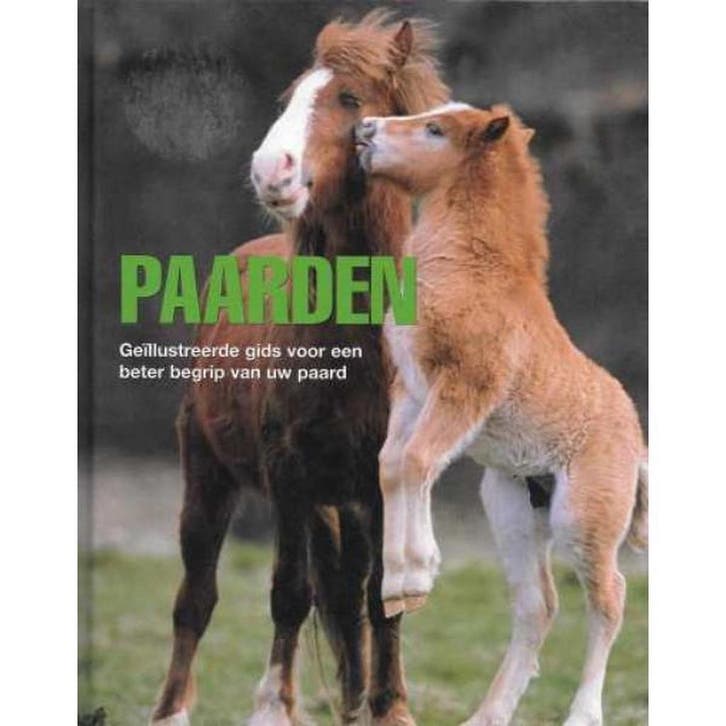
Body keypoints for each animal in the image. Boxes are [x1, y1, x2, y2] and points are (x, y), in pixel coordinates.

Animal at [150, 12, 449, 726]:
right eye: (289, 99)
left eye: (350, 98)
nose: (272, 170)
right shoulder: (288, 475)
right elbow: (288, 591)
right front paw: (272, 706)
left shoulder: (379, 485)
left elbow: (380, 602)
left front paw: (386, 707)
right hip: (208, 475)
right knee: (195, 598)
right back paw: (171, 710)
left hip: (341, 502)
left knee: (345, 597)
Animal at [354, 103, 648, 726]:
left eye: (435, 130)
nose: (365, 130)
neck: (473, 269)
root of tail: (636, 441)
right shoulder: (410, 392)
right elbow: (392, 465)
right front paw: (398, 586)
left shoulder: (466, 387)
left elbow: (417, 461)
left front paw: (417, 572)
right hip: (511, 506)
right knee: (539, 605)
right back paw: (487, 715)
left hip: (583, 518)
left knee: (610, 595)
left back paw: (583, 713)